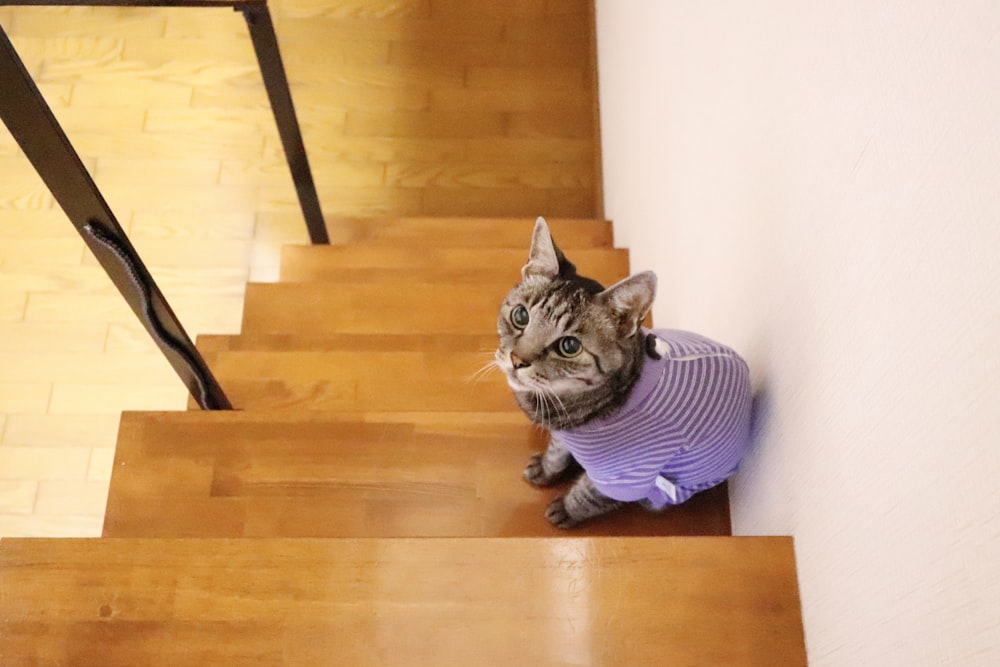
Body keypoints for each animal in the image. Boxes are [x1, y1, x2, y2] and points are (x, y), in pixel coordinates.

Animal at [496, 218, 752, 528]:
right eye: (520, 316)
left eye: (569, 346)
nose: (517, 359)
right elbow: (558, 450)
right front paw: (548, 468)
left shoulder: (630, 475)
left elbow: (590, 494)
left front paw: (567, 510)